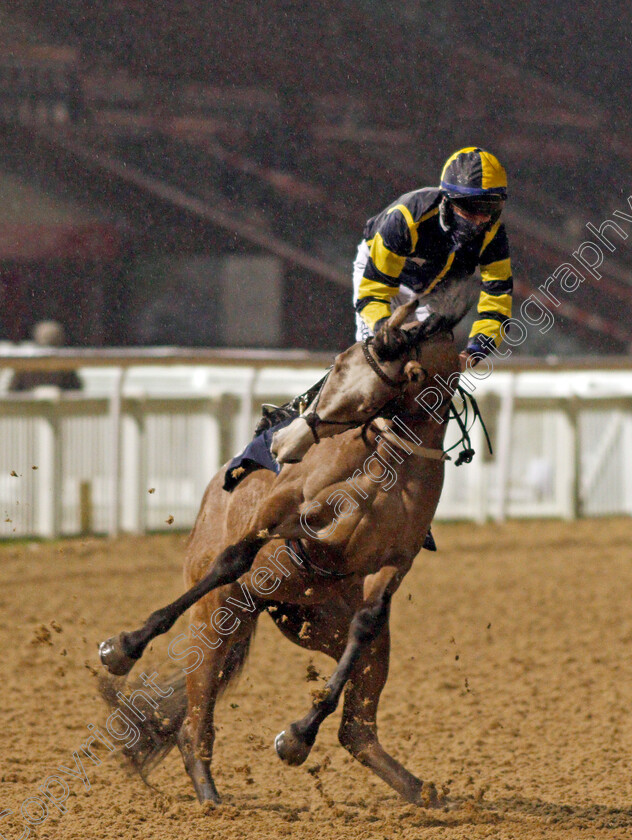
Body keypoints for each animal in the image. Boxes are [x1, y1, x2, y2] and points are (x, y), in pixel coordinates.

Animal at [100, 300, 460, 808]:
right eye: (337, 365)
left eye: (363, 385)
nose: (286, 443)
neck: (386, 462)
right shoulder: (284, 509)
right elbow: (233, 558)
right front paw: (122, 647)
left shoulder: (396, 562)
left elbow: (367, 622)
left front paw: (296, 737)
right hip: (218, 615)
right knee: (196, 715)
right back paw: (209, 793)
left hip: (323, 626)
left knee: (357, 729)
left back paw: (424, 793)